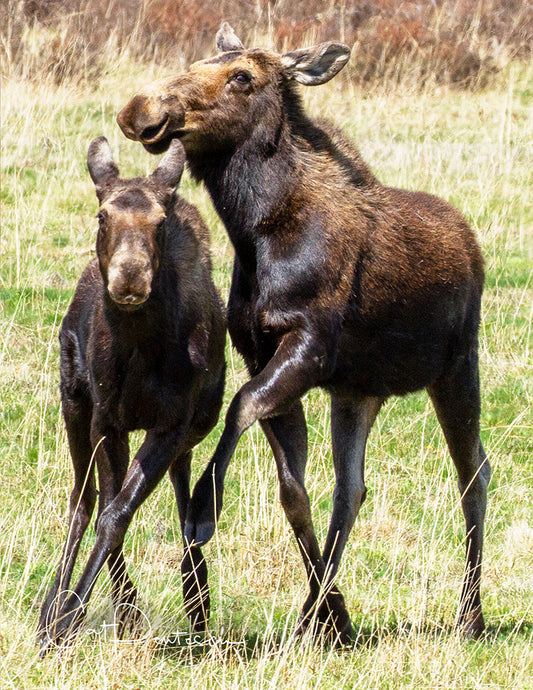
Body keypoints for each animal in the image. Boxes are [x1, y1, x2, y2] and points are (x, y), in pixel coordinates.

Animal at [38, 136, 226, 653]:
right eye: (103, 215)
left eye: (160, 222)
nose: (129, 277)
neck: (143, 351)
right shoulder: (107, 419)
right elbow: (108, 509)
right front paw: (68, 617)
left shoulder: (173, 423)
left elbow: (121, 510)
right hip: (73, 401)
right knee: (81, 500)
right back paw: (53, 604)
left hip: (195, 426)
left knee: (182, 495)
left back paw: (197, 599)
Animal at [117, 22, 491, 641]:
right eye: (194, 63)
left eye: (242, 76)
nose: (140, 108)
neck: (253, 232)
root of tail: (471, 243)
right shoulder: (262, 351)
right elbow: (294, 491)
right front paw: (328, 615)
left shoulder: (308, 346)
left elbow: (241, 406)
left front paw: (202, 511)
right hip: (360, 391)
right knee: (351, 489)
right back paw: (325, 612)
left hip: (457, 368)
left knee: (475, 474)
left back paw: (471, 616)